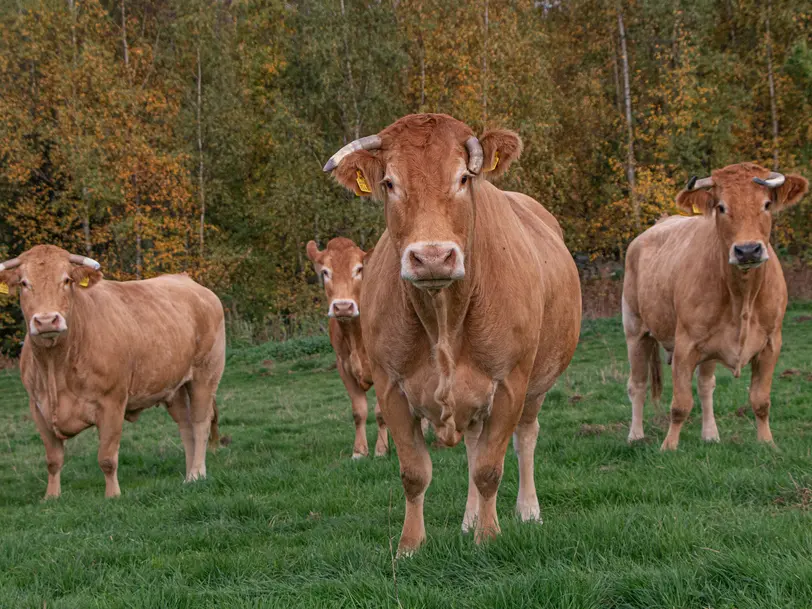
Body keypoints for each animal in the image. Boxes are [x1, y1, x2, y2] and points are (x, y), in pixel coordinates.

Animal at [0, 245, 225, 496]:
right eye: (24, 283)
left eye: (67, 280)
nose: (47, 321)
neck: (54, 366)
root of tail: (189, 281)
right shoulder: (38, 408)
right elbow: (53, 460)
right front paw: (51, 497)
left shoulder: (112, 403)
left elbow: (107, 458)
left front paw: (113, 495)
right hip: (172, 386)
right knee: (185, 427)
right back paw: (187, 477)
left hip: (206, 374)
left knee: (200, 423)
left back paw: (197, 473)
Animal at [308, 236, 390, 456]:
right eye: (325, 272)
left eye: (359, 269)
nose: (343, 307)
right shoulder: (343, 366)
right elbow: (359, 411)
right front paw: (359, 451)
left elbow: (381, 412)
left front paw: (382, 449)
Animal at [320, 111, 580, 552]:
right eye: (389, 183)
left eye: (462, 178)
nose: (432, 257)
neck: (443, 317)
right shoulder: (391, 387)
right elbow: (415, 473)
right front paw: (410, 545)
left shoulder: (510, 384)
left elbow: (490, 468)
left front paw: (488, 537)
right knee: (474, 444)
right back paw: (469, 518)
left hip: (536, 385)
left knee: (525, 438)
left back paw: (527, 510)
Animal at [620, 164, 804, 448]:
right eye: (721, 207)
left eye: (766, 204)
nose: (747, 250)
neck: (742, 295)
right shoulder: (685, 344)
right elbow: (680, 404)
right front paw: (668, 446)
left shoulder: (771, 343)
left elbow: (760, 401)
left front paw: (767, 442)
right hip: (635, 330)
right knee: (637, 384)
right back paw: (635, 436)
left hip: (707, 349)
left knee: (706, 384)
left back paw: (710, 435)